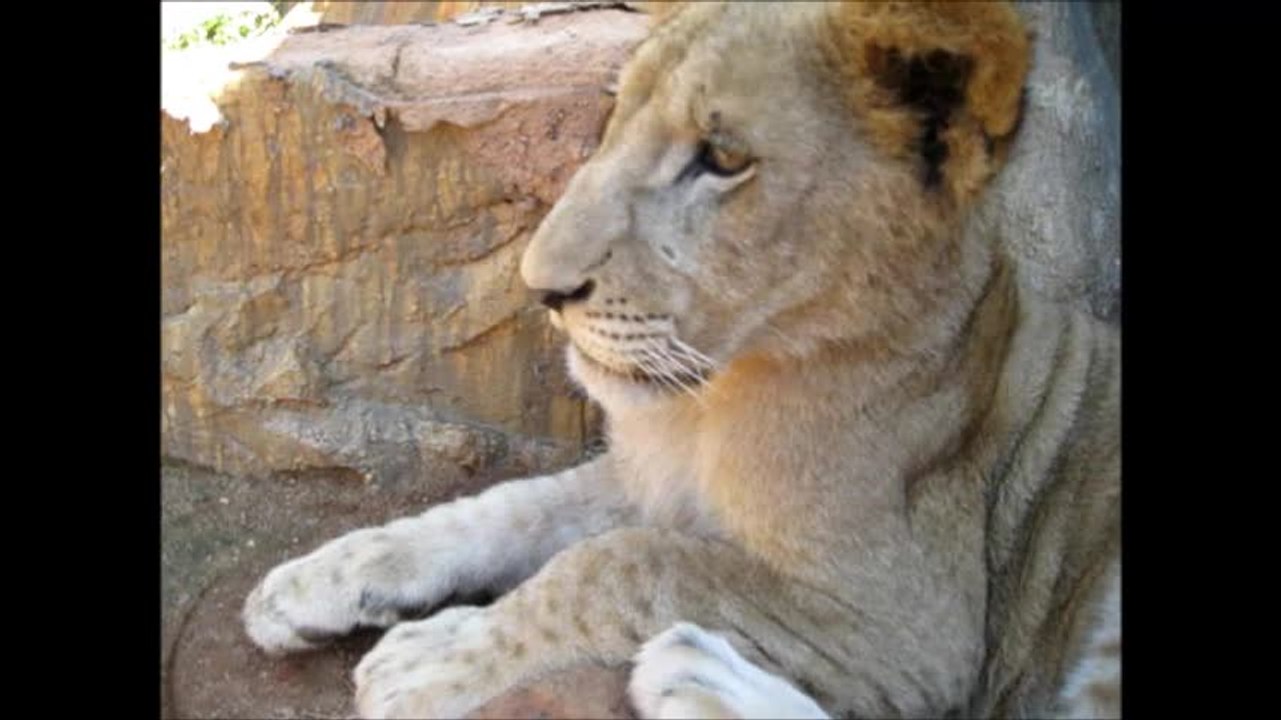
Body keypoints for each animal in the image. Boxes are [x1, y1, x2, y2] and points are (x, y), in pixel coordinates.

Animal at [242, 2, 1120, 718]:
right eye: (613, 115)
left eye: (723, 159)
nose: (539, 287)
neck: (710, 406)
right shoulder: (648, 480)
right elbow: (509, 508)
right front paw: (320, 578)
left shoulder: (912, 628)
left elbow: (626, 566)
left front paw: (428, 659)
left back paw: (699, 677)